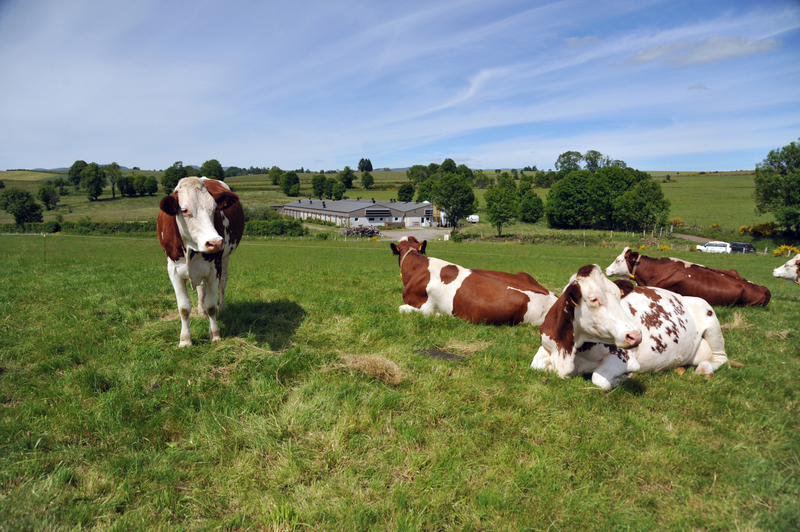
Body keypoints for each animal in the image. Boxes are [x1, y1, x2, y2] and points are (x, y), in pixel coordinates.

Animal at [157, 177, 244, 347]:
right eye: (184, 210)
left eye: (214, 208)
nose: (215, 242)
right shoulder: (173, 271)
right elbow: (184, 308)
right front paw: (185, 340)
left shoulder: (214, 268)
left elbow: (211, 306)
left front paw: (215, 335)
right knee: (201, 287)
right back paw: (200, 310)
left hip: (225, 258)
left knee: (223, 282)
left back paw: (222, 306)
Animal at [531, 265, 728, 390]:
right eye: (593, 299)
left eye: (619, 296)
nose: (636, 335)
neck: (568, 351)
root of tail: (684, 296)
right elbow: (536, 364)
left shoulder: (624, 357)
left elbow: (599, 379)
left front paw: (623, 378)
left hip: (710, 319)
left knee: (721, 359)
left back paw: (705, 368)